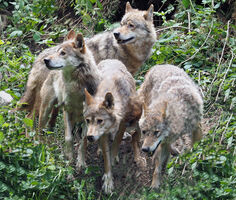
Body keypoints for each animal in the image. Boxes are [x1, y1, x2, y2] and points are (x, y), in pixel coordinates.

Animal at [18, 1, 157, 123]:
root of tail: (39, 57)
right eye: (122, 24)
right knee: (29, 118)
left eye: (131, 25)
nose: (116, 33)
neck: (127, 51)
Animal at [38, 30, 101, 168]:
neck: (76, 88)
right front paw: (70, 158)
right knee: (39, 129)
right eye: (57, 51)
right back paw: (38, 147)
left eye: (63, 53)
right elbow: (68, 138)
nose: (46, 60)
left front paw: (81, 163)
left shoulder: (87, 118)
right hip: (45, 110)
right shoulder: (67, 110)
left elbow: (83, 141)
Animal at [83, 59, 144, 194]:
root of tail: (111, 59)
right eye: (88, 121)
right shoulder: (103, 133)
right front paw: (108, 180)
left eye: (100, 121)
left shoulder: (123, 124)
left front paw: (113, 158)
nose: (89, 137)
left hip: (136, 115)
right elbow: (106, 158)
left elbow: (115, 145)